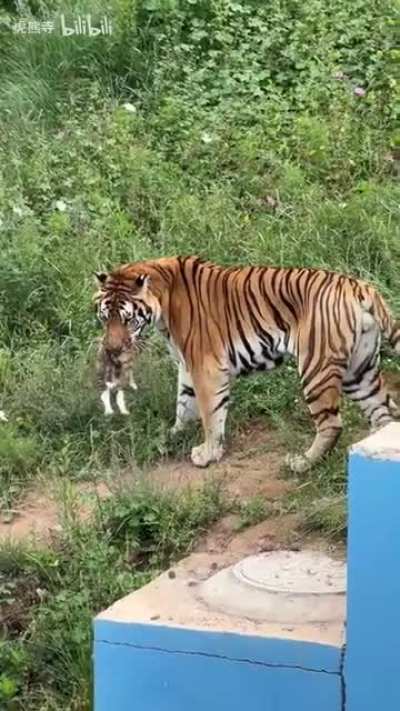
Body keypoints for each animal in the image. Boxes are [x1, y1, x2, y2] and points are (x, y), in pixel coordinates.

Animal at [93, 255, 400, 472]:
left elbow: (210, 414)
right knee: (382, 413)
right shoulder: (187, 365)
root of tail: (360, 286)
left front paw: (208, 453)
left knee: (331, 424)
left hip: (317, 368)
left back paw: (302, 463)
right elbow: (183, 402)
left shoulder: (206, 368)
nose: (112, 348)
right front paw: (172, 434)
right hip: (359, 370)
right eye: (104, 317)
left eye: (127, 319)